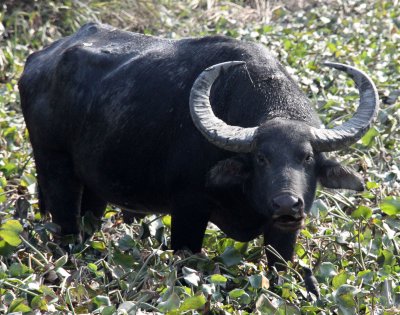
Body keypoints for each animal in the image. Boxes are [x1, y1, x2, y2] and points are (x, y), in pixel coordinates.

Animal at [19, 22, 378, 270]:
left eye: (306, 158)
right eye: (261, 158)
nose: (287, 204)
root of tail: (38, 60)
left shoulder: (284, 233)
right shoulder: (188, 210)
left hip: (94, 185)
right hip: (53, 165)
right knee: (66, 226)